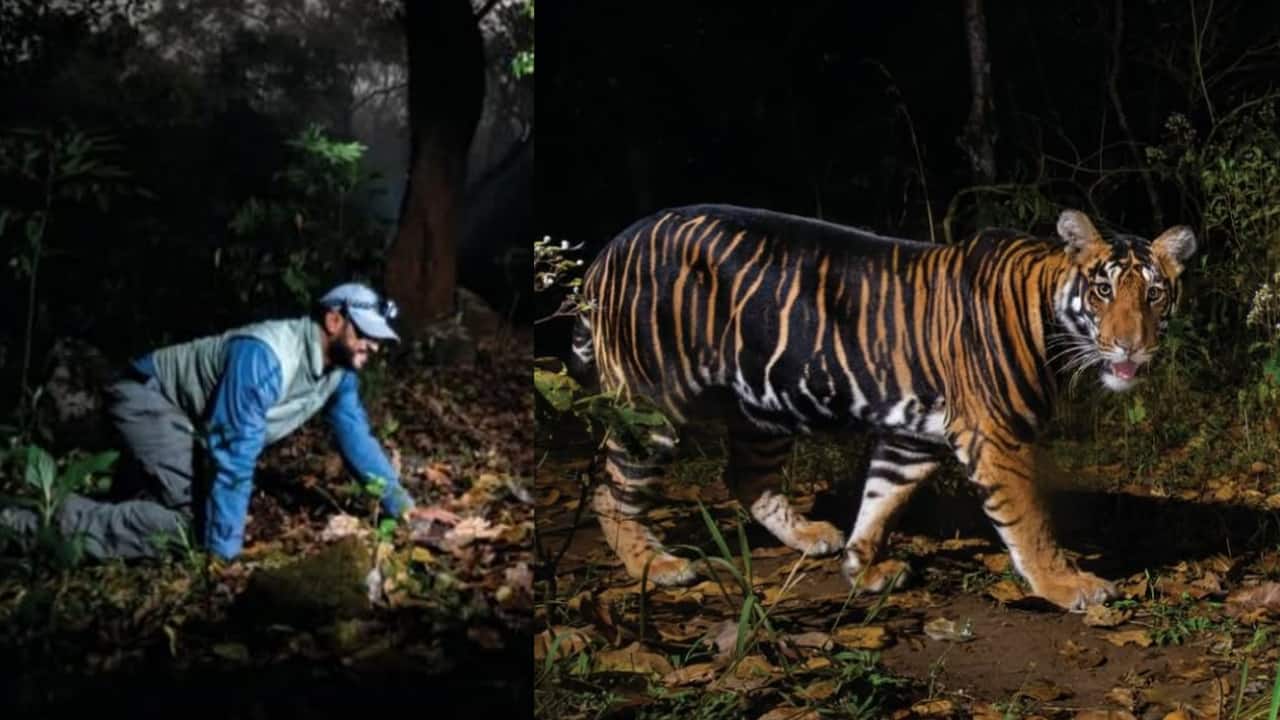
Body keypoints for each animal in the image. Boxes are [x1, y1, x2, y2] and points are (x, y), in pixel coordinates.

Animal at [568, 203, 1196, 613]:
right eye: (1103, 291)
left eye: (1154, 293)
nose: (1131, 346)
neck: (1051, 314)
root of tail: (608, 251)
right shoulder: (997, 435)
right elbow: (1030, 522)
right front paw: (1067, 586)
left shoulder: (913, 438)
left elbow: (880, 500)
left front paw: (862, 567)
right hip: (650, 403)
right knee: (609, 487)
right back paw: (658, 567)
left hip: (764, 404)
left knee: (746, 475)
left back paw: (810, 535)